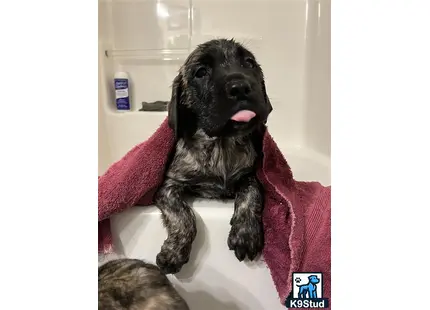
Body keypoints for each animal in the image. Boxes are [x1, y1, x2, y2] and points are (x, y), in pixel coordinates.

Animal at [156, 38, 274, 274]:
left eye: (249, 63)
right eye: (201, 72)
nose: (240, 88)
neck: (221, 145)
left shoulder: (249, 175)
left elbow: (252, 194)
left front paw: (245, 233)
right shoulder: (169, 186)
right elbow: (182, 215)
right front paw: (174, 250)